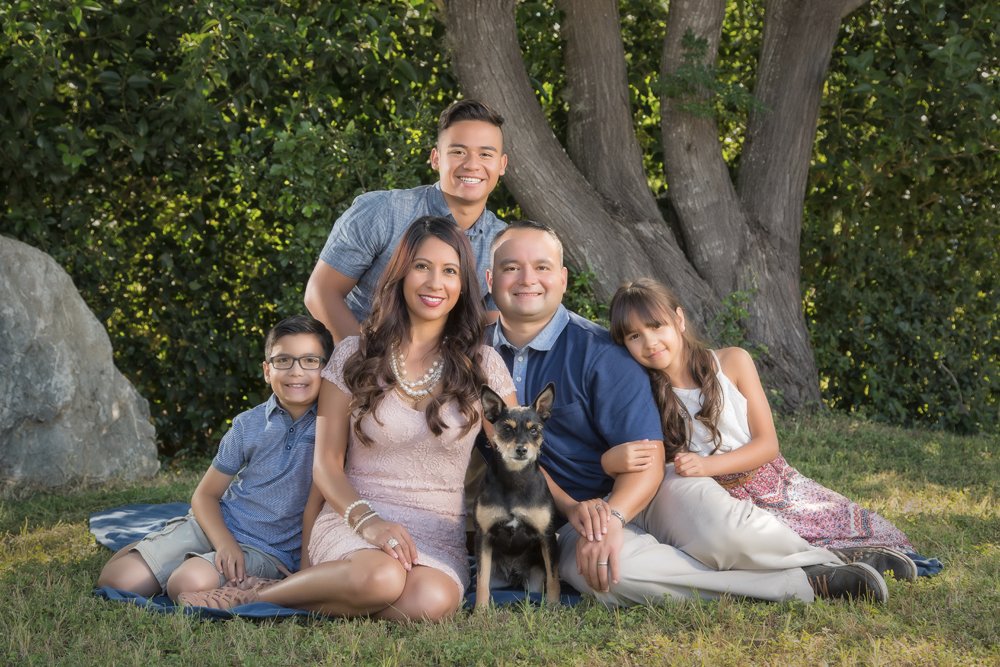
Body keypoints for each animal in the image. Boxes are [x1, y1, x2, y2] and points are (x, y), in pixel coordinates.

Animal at [472, 380, 560, 612]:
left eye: (534, 430)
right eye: (506, 429)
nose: (522, 450)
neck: (514, 480)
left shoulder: (547, 536)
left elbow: (553, 576)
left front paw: (554, 606)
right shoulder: (483, 536)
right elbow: (481, 580)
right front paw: (480, 612)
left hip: (534, 580)